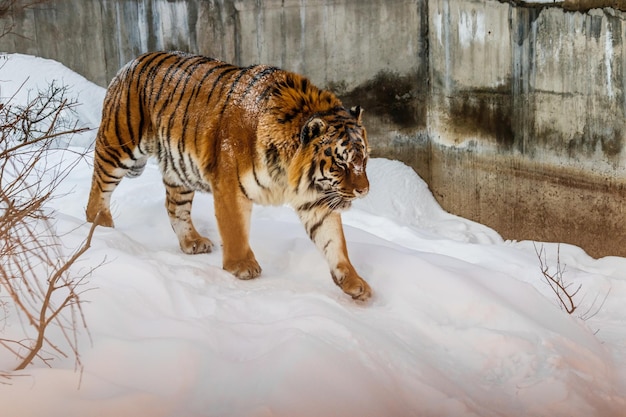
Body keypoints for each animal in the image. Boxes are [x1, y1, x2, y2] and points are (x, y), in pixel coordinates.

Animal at [86, 51, 370, 300]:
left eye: (363, 160)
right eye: (340, 163)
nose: (364, 191)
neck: (289, 174)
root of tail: (129, 63)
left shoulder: (317, 199)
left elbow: (334, 242)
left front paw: (354, 282)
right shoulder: (230, 185)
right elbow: (235, 229)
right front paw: (242, 266)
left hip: (179, 170)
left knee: (175, 207)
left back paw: (192, 242)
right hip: (119, 145)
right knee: (99, 185)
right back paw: (100, 226)